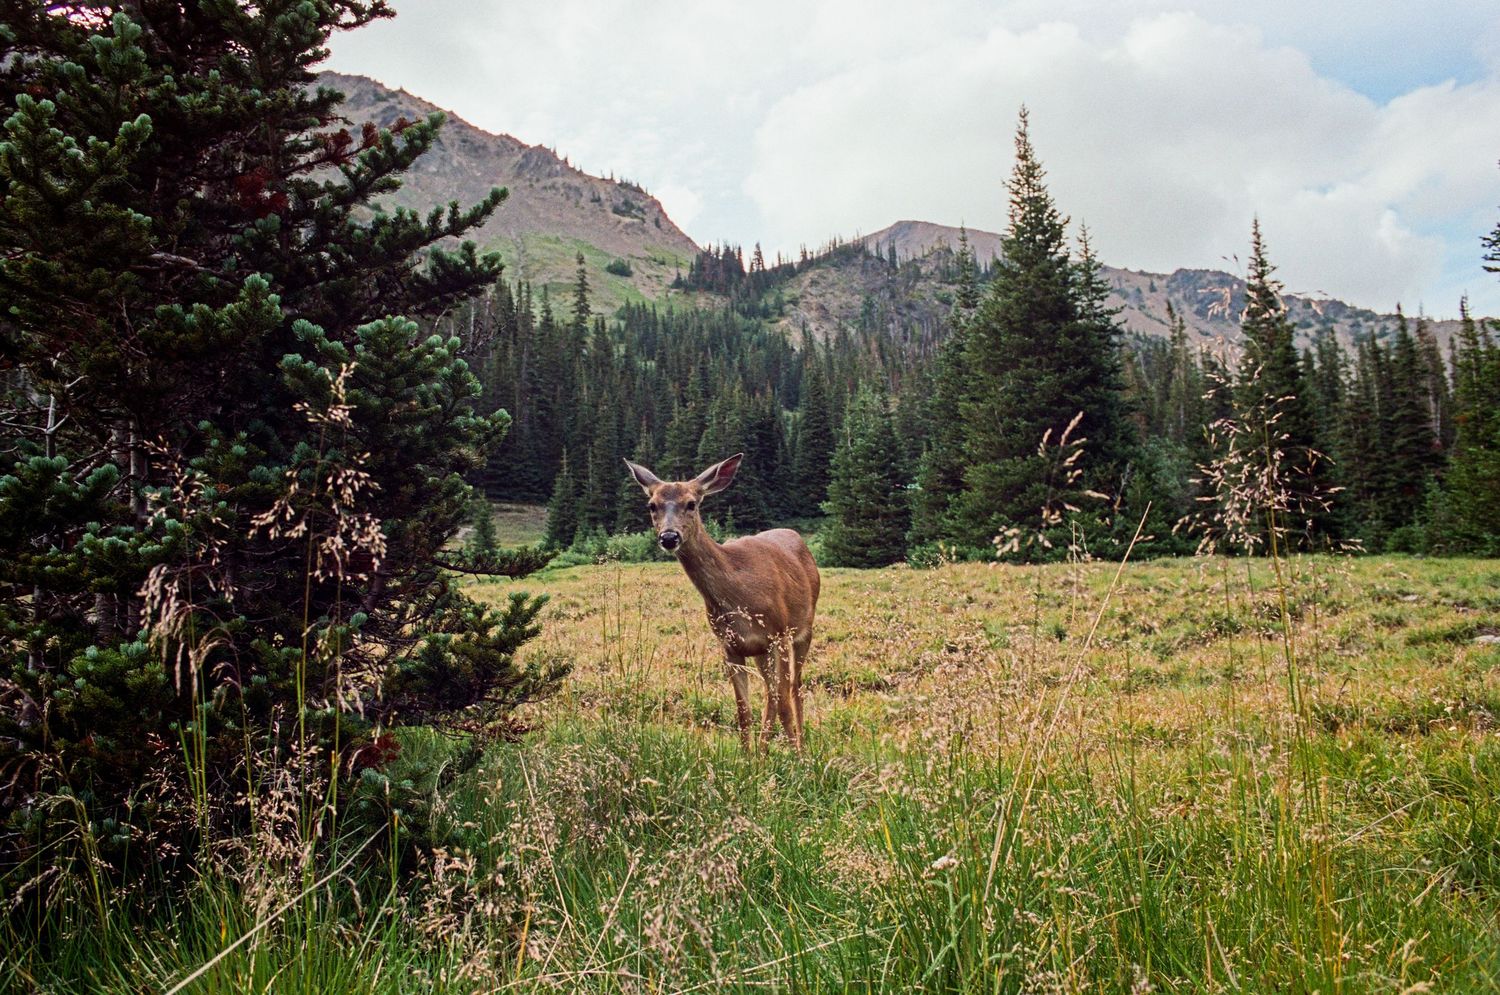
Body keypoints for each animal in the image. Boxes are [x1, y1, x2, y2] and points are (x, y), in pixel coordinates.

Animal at [624, 453, 820, 751]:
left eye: (691, 503)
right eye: (652, 505)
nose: (669, 537)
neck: (739, 594)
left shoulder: (777, 635)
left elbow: (784, 702)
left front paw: (796, 758)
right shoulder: (731, 646)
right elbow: (743, 711)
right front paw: (748, 757)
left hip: (801, 630)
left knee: (793, 687)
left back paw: (802, 744)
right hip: (761, 652)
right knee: (771, 693)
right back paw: (765, 750)